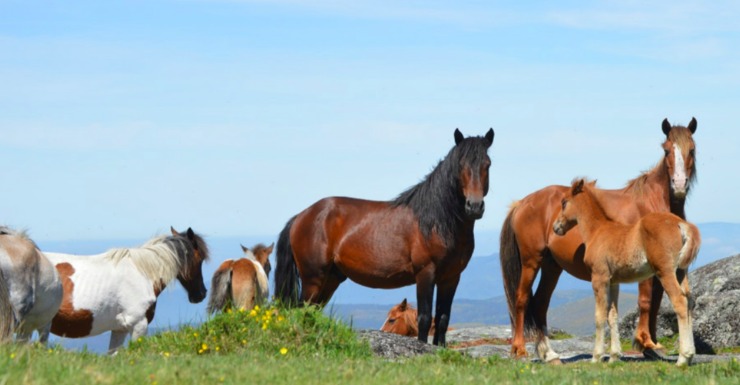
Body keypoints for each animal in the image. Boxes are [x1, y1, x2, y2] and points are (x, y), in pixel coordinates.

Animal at [274, 128, 494, 344]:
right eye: (461, 164)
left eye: (487, 164)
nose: (474, 206)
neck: (436, 222)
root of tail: (301, 216)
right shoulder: (425, 273)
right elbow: (424, 318)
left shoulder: (451, 278)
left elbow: (442, 320)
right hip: (313, 279)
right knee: (303, 312)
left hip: (331, 279)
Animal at [556, 178, 700, 364]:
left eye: (564, 202)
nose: (556, 227)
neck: (597, 232)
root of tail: (680, 224)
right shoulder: (613, 282)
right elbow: (612, 316)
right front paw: (614, 357)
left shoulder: (599, 278)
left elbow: (599, 316)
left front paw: (596, 357)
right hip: (681, 271)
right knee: (689, 302)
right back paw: (689, 357)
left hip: (665, 271)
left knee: (680, 301)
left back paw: (683, 358)